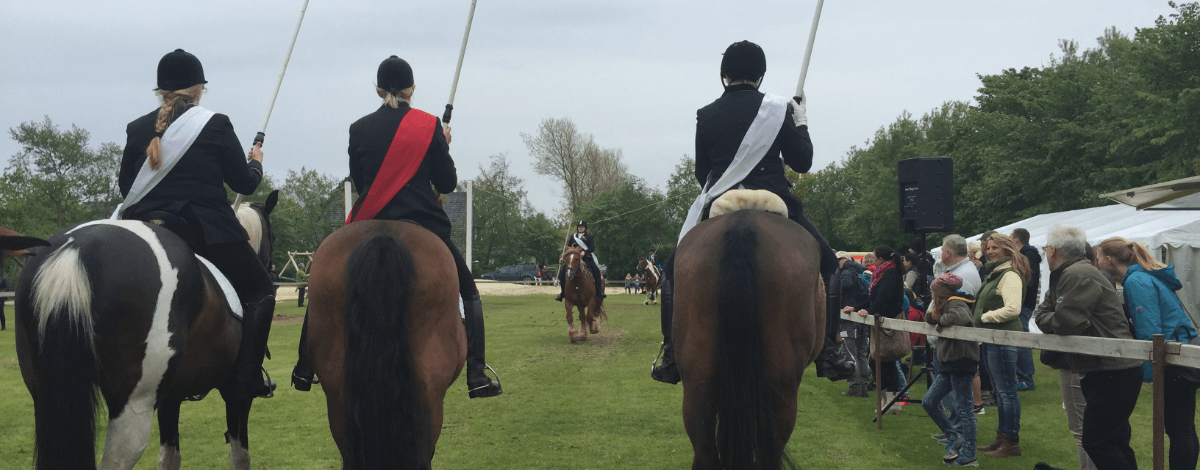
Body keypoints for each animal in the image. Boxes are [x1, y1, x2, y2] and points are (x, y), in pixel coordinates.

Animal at [15, 191, 278, 470]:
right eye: (273, 237)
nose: (272, 270)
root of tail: (74, 252)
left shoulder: (169, 396)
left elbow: (169, 458)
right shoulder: (236, 394)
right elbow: (240, 456)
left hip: (46, 396)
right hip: (133, 406)